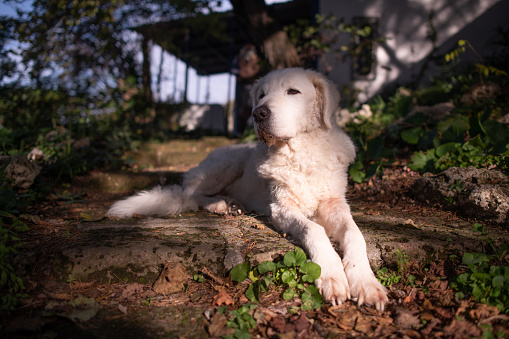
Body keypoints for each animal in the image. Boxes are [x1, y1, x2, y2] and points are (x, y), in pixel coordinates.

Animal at [107, 67, 384, 312]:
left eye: (293, 91)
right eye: (261, 95)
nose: (258, 113)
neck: (301, 153)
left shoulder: (334, 203)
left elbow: (355, 234)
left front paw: (365, 282)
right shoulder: (280, 208)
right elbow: (314, 229)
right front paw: (331, 275)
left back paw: (232, 204)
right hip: (228, 163)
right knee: (189, 196)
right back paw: (220, 205)